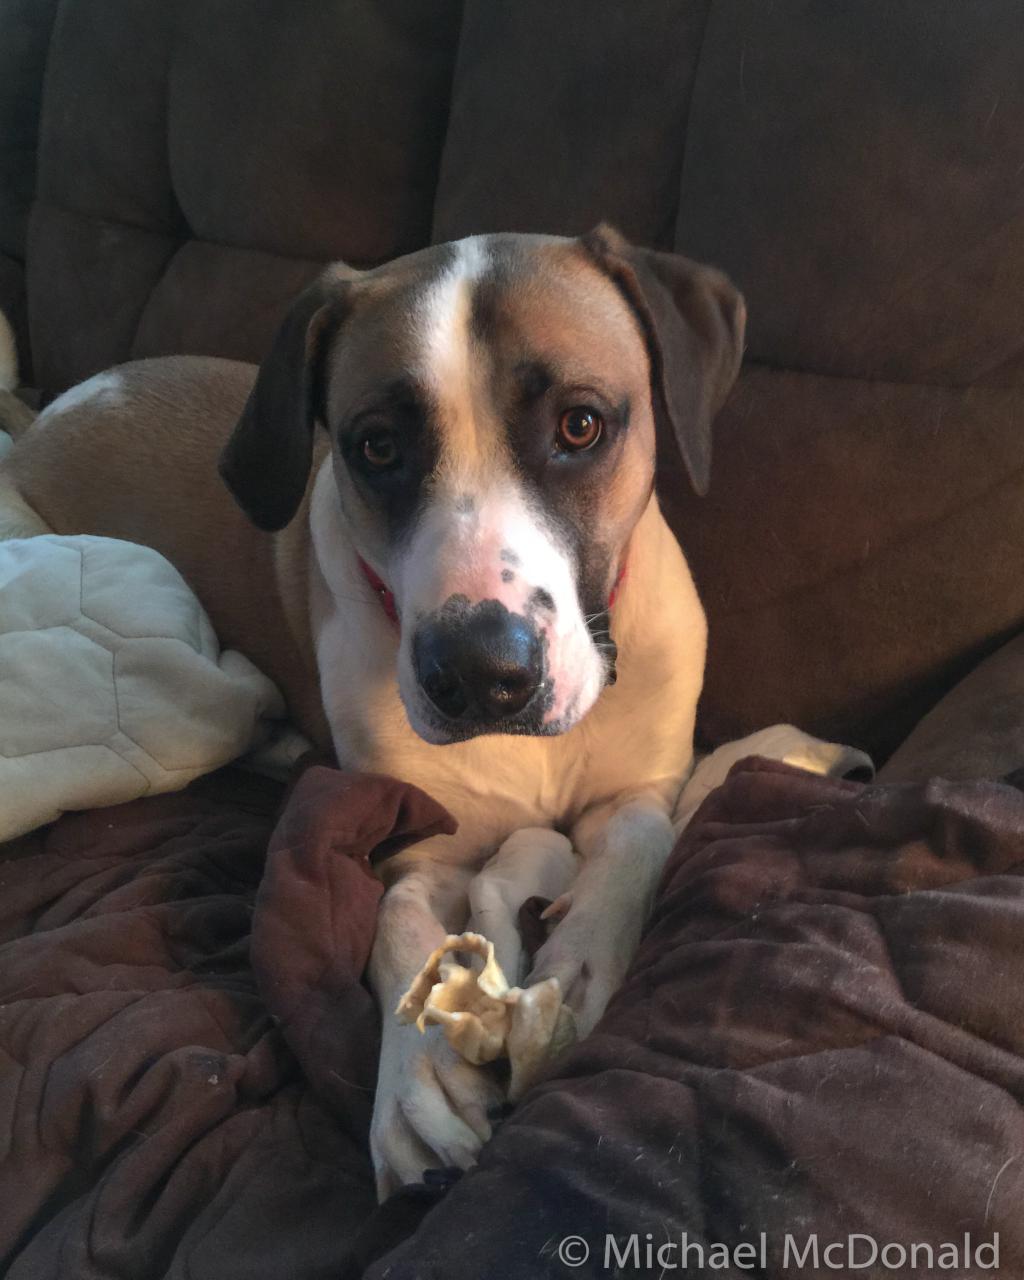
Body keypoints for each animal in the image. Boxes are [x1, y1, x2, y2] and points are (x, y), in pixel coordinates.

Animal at [0, 227, 865, 1198]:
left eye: (581, 425)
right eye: (376, 446)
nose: (481, 673)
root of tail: (52, 413)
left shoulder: (641, 789)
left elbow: (644, 842)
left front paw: (579, 966)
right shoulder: (418, 845)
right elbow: (394, 924)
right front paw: (417, 1079)